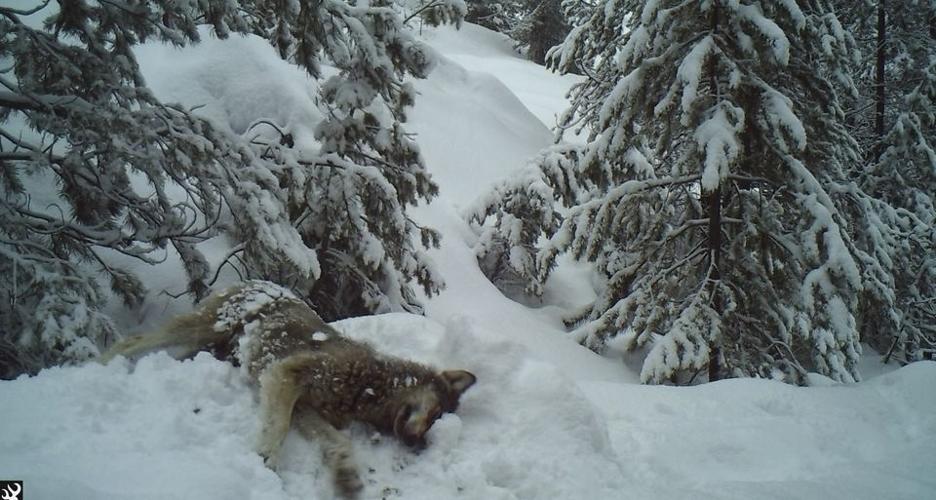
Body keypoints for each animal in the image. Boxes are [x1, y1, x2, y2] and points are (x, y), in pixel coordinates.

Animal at [98, 280, 476, 498]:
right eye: (436, 414)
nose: (418, 445)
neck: (369, 389)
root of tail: (258, 280)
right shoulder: (286, 374)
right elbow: (276, 426)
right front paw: (264, 461)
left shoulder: (306, 409)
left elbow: (337, 442)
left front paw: (345, 475)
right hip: (200, 328)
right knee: (135, 339)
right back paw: (98, 364)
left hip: (205, 344)